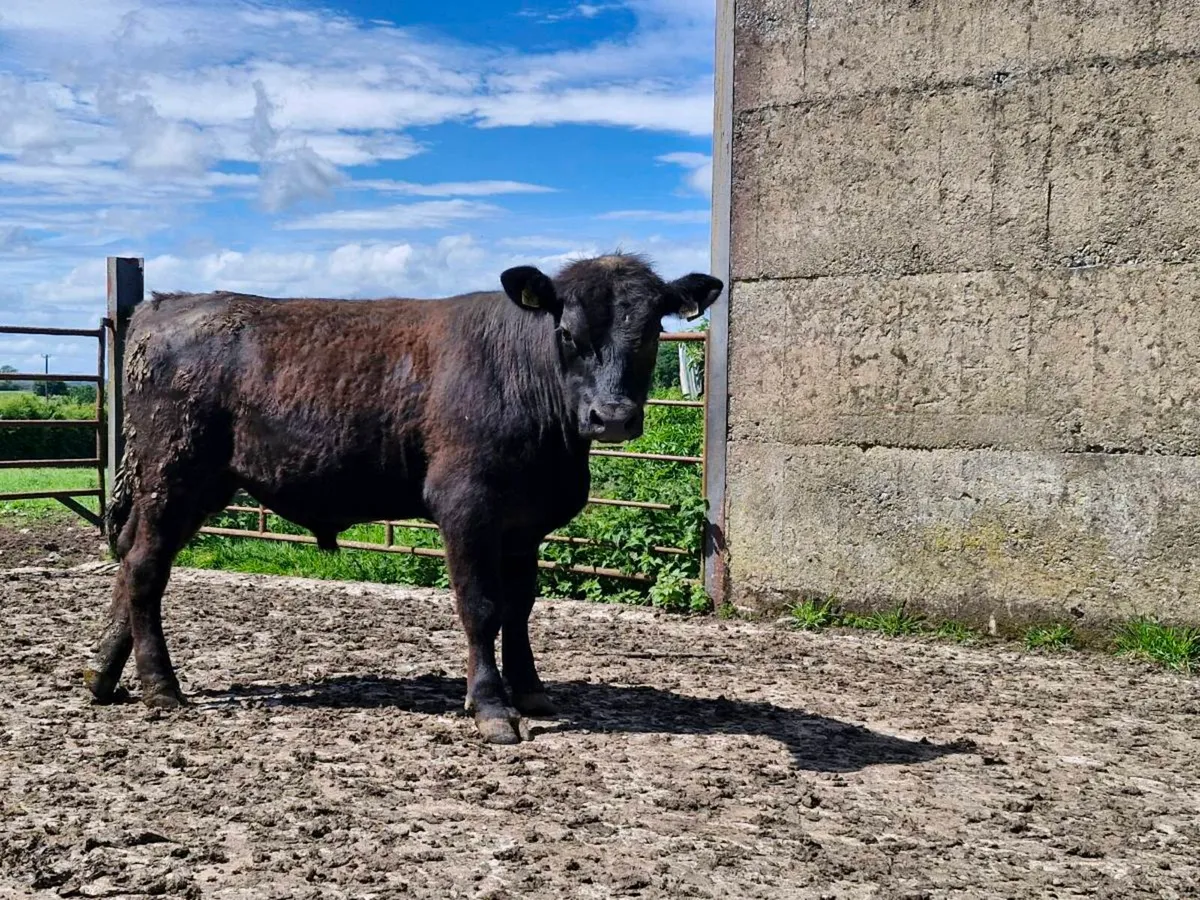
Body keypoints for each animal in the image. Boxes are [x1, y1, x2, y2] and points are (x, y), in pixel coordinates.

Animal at [83, 252, 723, 744]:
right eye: (567, 333)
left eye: (653, 332)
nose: (611, 416)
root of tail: (166, 304)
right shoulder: (465, 506)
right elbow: (481, 607)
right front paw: (491, 707)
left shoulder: (527, 522)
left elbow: (520, 606)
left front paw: (533, 692)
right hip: (173, 474)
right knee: (145, 569)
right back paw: (161, 688)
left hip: (194, 486)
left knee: (132, 560)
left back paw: (102, 675)